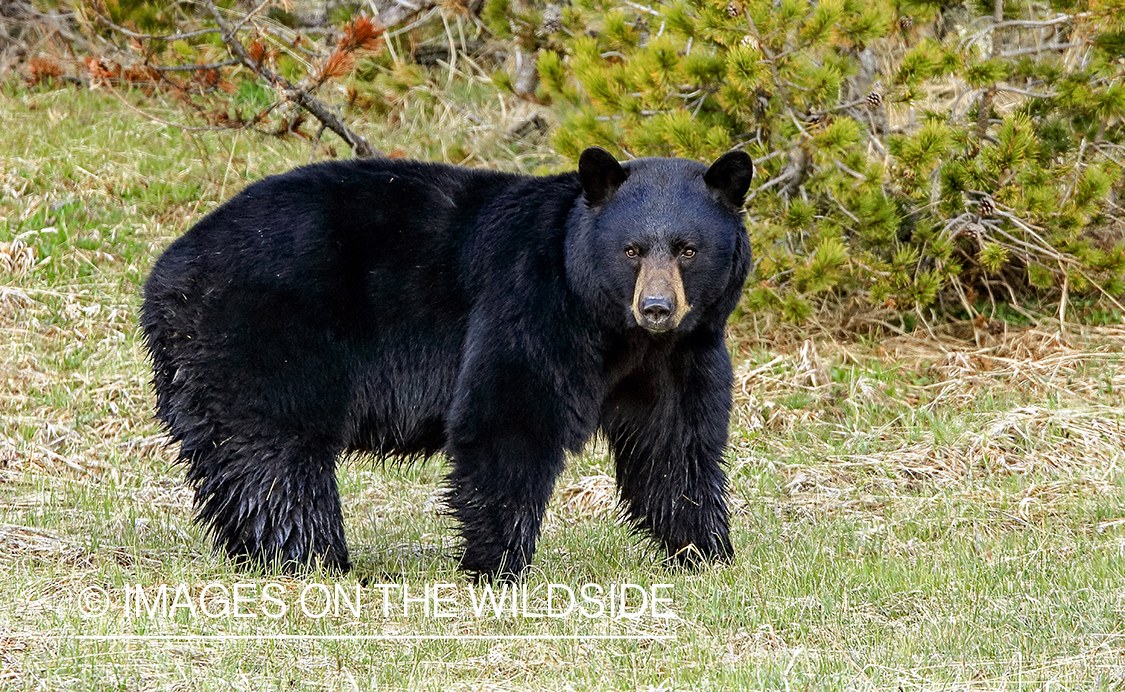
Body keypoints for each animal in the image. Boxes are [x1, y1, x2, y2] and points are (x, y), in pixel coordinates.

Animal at [142, 146, 756, 580]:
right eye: (632, 250)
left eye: (688, 249)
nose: (657, 307)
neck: (614, 328)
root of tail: (167, 272)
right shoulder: (527, 301)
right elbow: (508, 415)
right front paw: (497, 564)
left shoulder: (682, 352)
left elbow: (676, 443)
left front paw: (706, 551)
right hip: (264, 331)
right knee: (276, 449)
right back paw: (313, 555)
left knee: (233, 452)